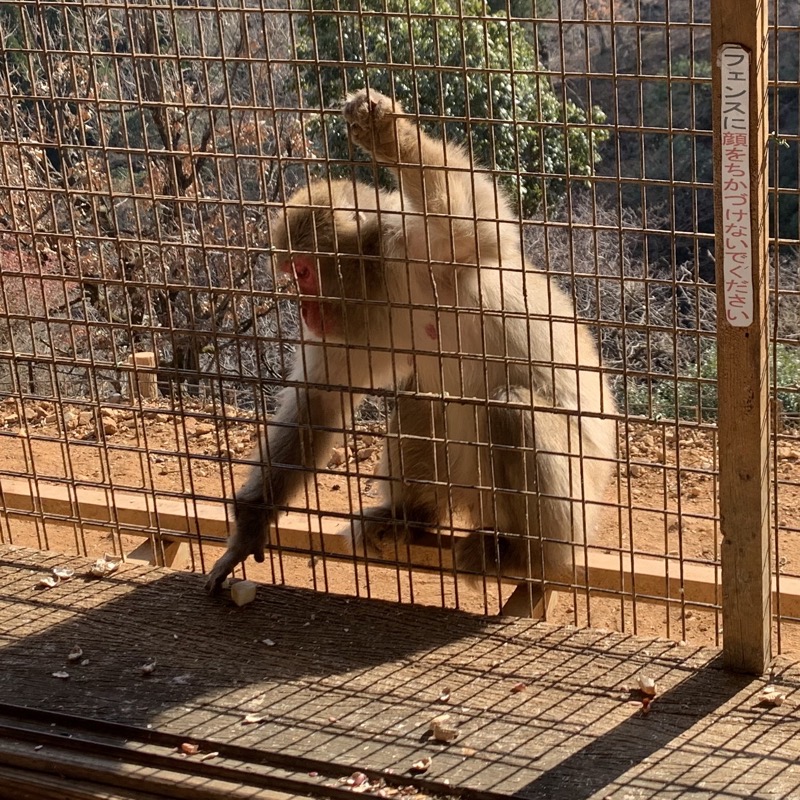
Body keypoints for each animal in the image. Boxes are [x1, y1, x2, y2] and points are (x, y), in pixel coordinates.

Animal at [205, 88, 618, 617]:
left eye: (302, 272)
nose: (302, 308)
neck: (380, 283)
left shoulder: (420, 250)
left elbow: (477, 226)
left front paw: (386, 134)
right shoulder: (348, 328)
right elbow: (319, 402)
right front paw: (249, 527)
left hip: (580, 494)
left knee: (509, 409)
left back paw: (527, 555)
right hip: (466, 486)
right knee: (423, 395)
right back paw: (409, 517)